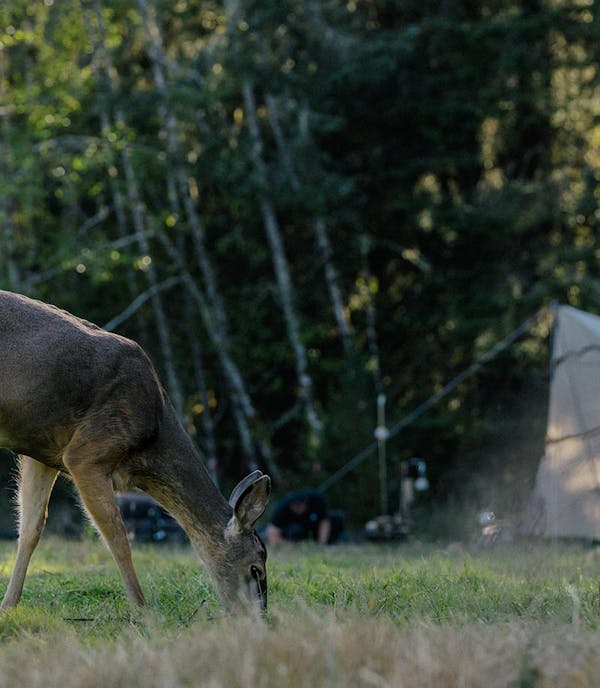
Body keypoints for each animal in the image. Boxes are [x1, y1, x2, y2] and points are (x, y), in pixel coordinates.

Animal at [0, 290, 271, 613]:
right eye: (256, 568)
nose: (261, 617)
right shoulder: (86, 453)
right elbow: (118, 537)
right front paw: (142, 610)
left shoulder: (43, 452)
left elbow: (31, 528)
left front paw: (8, 606)